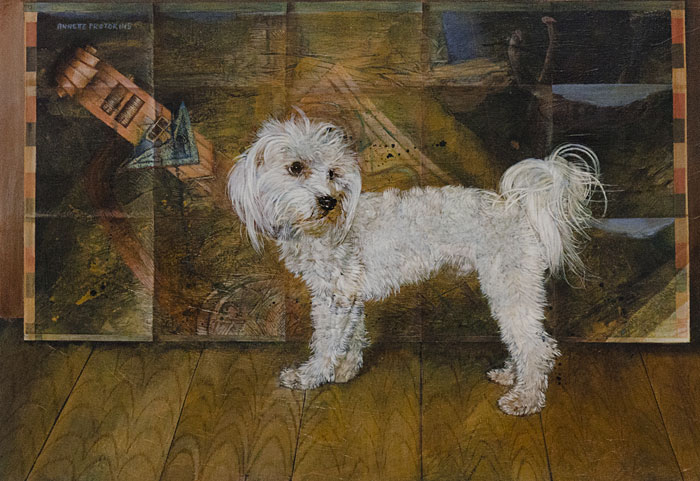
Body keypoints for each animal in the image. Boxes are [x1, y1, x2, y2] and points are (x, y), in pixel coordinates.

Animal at [227, 112, 604, 416]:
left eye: (332, 173)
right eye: (296, 167)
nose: (329, 201)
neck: (325, 228)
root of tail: (519, 209)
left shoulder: (334, 299)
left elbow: (326, 340)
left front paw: (311, 376)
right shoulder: (349, 296)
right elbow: (353, 334)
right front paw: (347, 369)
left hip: (511, 286)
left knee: (538, 347)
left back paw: (525, 399)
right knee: (530, 341)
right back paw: (512, 375)